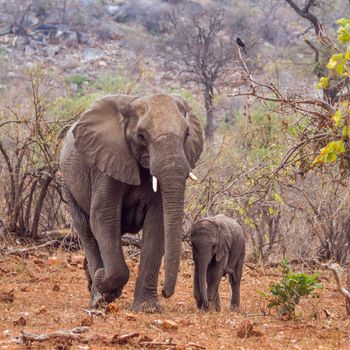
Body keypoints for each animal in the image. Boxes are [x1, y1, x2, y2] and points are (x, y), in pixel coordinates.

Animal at [59, 93, 202, 312]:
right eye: (142, 135)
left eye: (186, 134)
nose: (165, 292)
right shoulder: (105, 164)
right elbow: (103, 217)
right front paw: (105, 286)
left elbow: (157, 223)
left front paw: (148, 309)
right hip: (68, 182)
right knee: (86, 229)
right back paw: (97, 295)